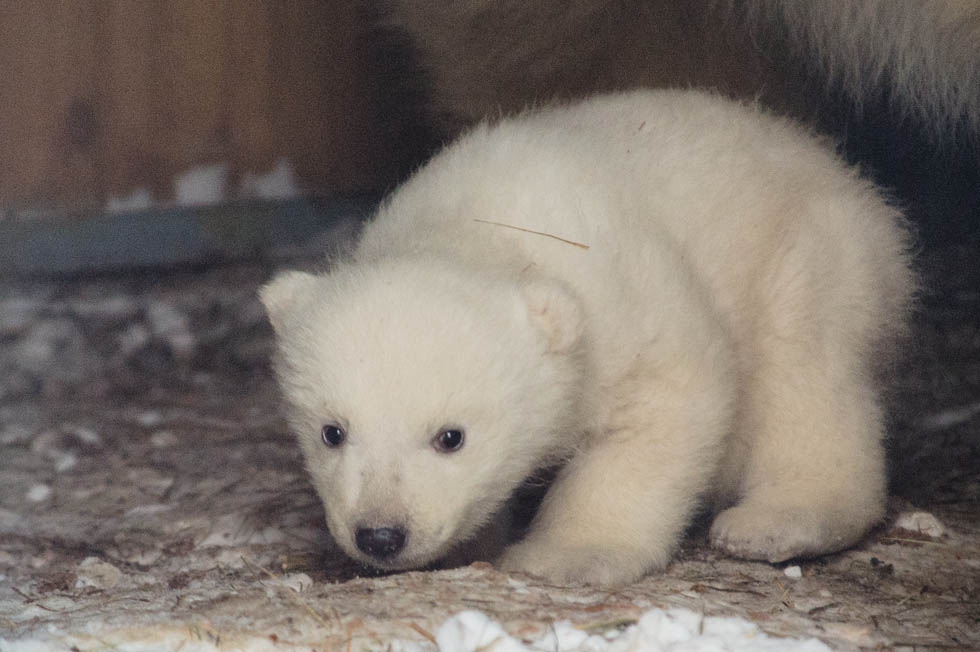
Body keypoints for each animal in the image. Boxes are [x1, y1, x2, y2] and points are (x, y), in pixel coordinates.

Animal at [258, 90, 912, 584]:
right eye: (332, 431)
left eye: (451, 437)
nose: (381, 534)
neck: (484, 227)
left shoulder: (623, 299)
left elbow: (671, 401)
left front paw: (563, 556)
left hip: (811, 257)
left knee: (806, 376)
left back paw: (777, 520)